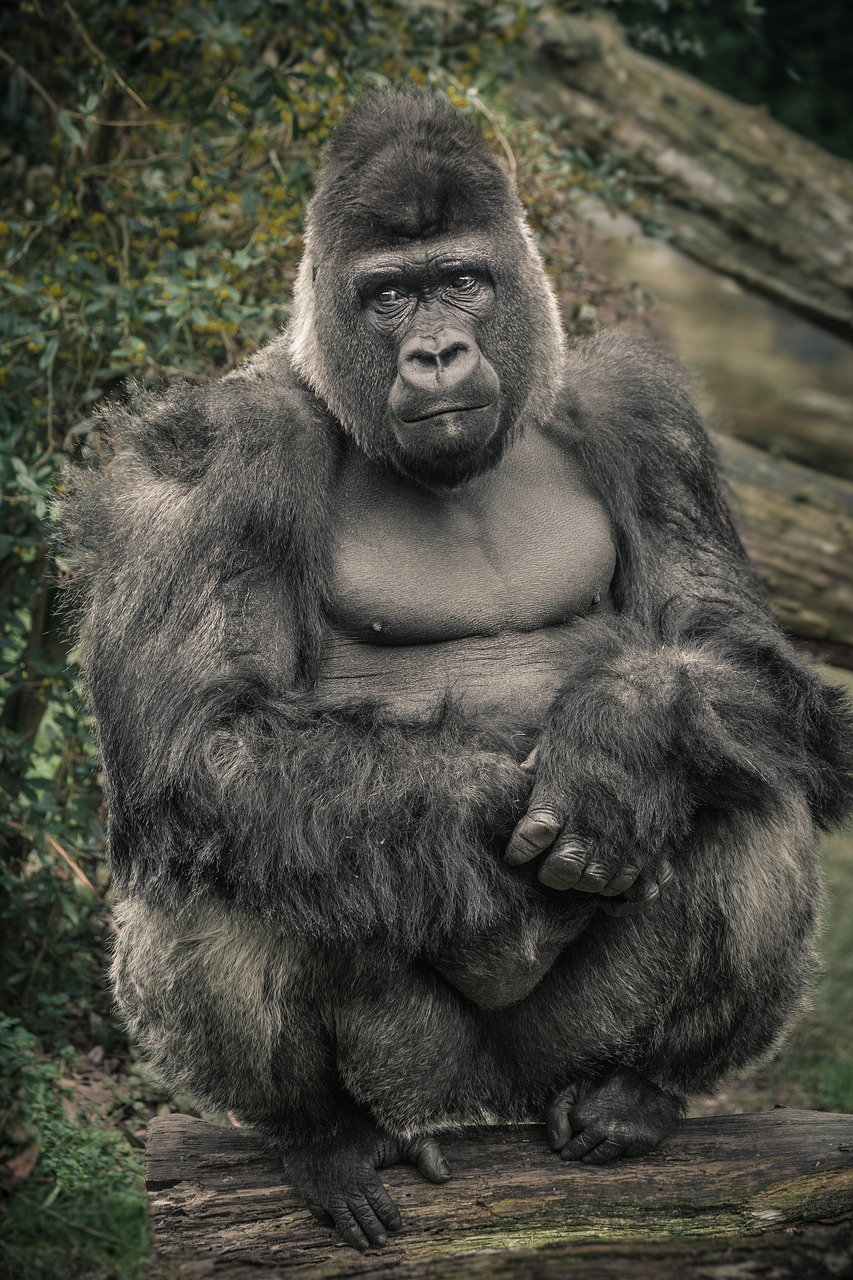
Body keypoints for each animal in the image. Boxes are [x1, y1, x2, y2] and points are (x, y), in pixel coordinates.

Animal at [58, 89, 853, 1253]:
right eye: (389, 295)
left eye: (462, 280)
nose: (434, 351)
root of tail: (484, 1098)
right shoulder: (216, 449)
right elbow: (203, 735)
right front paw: (494, 797)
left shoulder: (639, 411)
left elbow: (727, 648)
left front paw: (621, 739)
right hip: (410, 1066)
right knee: (228, 837)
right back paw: (322, 1134)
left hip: (563, 1048)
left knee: (744, 783)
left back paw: (641, 1091)